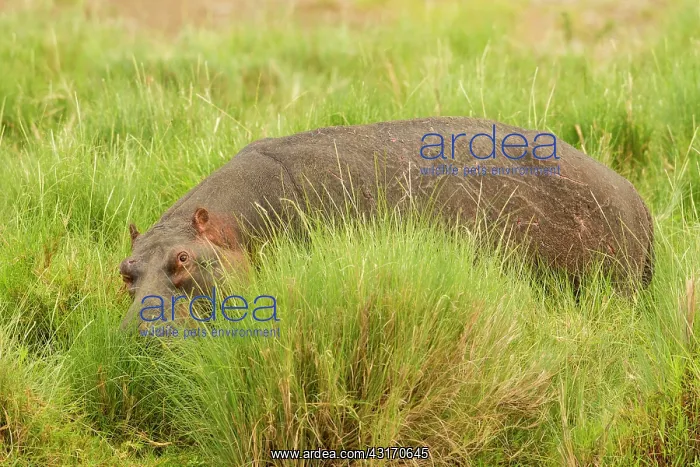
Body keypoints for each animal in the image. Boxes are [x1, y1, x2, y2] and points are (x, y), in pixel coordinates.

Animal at [119, 117, 654, 331]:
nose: (136, 332)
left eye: (184, 259)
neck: (231, 229)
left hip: (615, 283)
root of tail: (636, 195)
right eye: (124, 271)